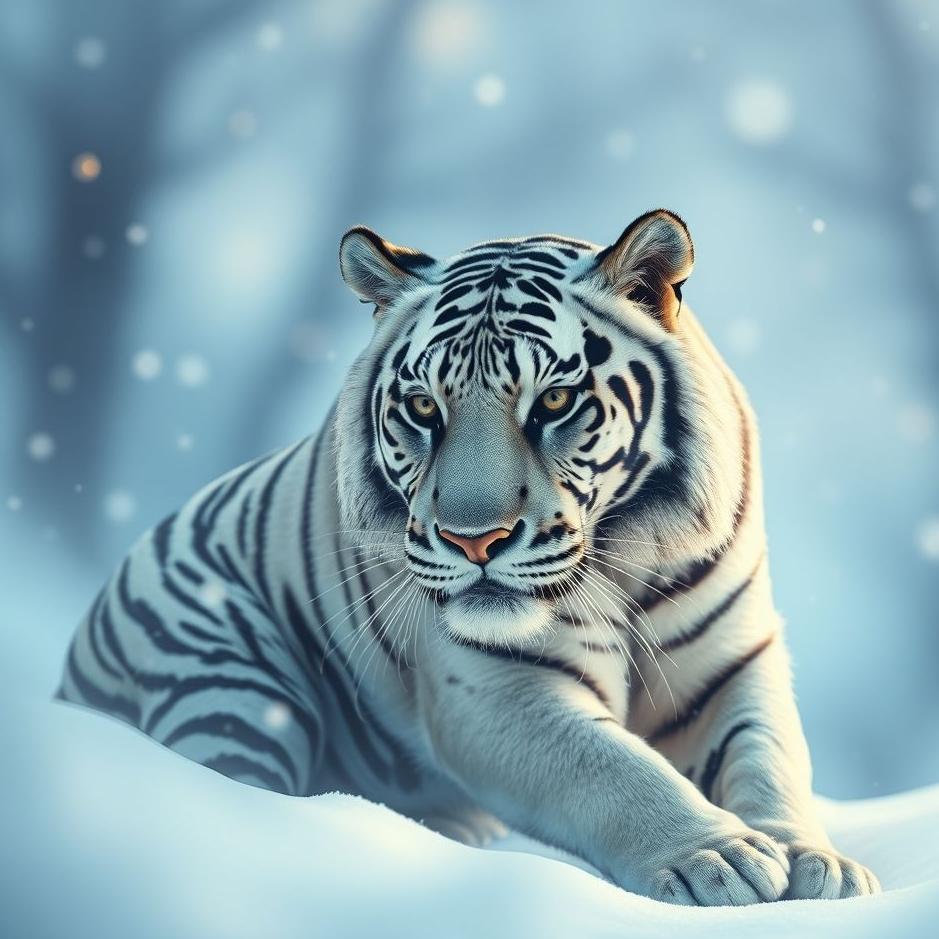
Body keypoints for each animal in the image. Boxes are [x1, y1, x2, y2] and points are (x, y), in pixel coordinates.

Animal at [56, 209, 880, 905]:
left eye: (554, 403)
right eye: (424, 408)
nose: (472, 540)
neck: (626, 560)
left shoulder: (733, 663)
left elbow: (768, 758)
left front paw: (817, 862)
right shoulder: (495, 692)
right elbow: (610, 768)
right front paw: (718, 858)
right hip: (228, 683)